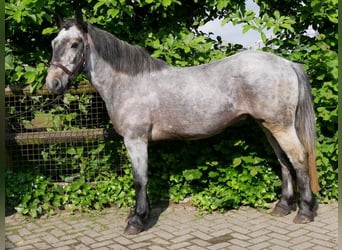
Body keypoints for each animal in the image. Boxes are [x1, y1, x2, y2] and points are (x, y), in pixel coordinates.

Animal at [44, 11, 318, 234]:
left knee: (299, 158)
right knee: (284, 161)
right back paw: (283, 206)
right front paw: (139, 215)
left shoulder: (135, 140)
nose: (53, 83)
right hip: (268, 125)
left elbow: (139, 179)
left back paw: (304, 212)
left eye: (75, 44)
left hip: (280, 126)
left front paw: (137, 221)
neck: (128, 82)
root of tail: (288, 64)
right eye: (53, 43)